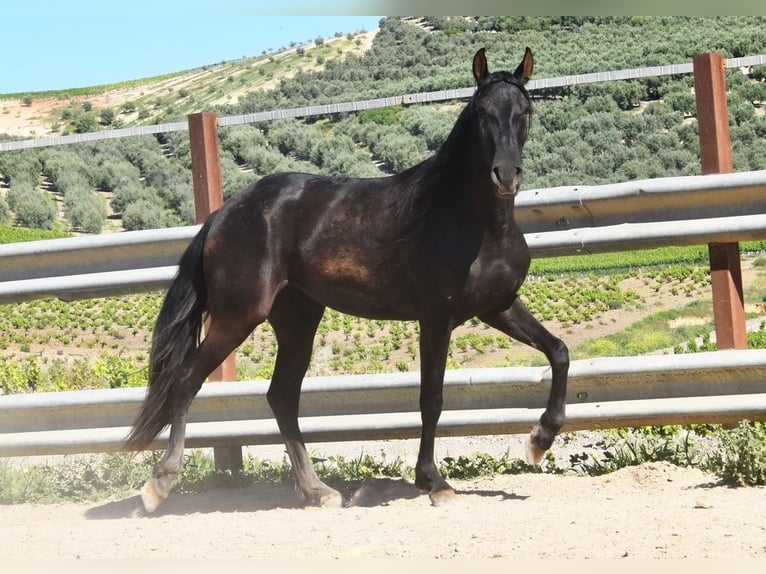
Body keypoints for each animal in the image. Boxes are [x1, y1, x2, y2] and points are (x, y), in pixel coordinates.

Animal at [126, 47, 569, 512]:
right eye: (481, 112)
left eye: (524, 109)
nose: (506, 175)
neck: (475, 223)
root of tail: (223, 214)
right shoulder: (436, 318)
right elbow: (431, 398)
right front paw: (434, 482)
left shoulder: (497, 307)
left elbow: (558, 351)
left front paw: (540, 440)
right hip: (237, 317)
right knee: (186, 381)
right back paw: (159, 486)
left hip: (297, 320)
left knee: (281, 396)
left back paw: (316, 491)